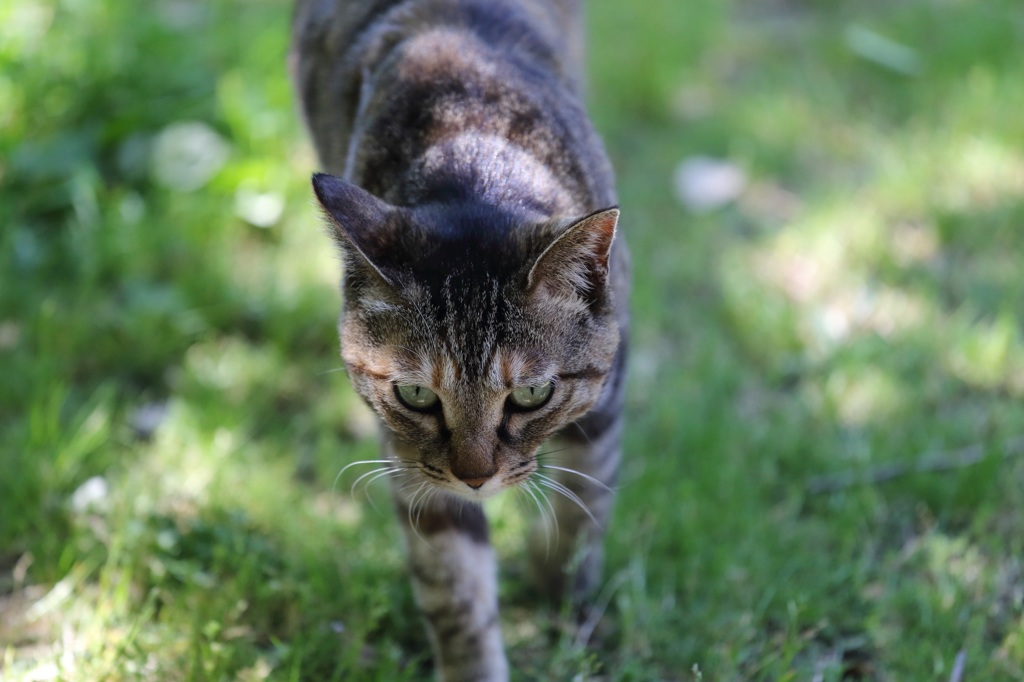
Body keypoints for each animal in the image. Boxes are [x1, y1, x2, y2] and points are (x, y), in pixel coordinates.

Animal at [288, 0, 622, 675]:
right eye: (417, 395)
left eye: (530, 395)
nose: (475, 479)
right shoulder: (413, 464)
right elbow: (456, 590)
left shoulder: (604, 404)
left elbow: (582, 506)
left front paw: (564, 600)